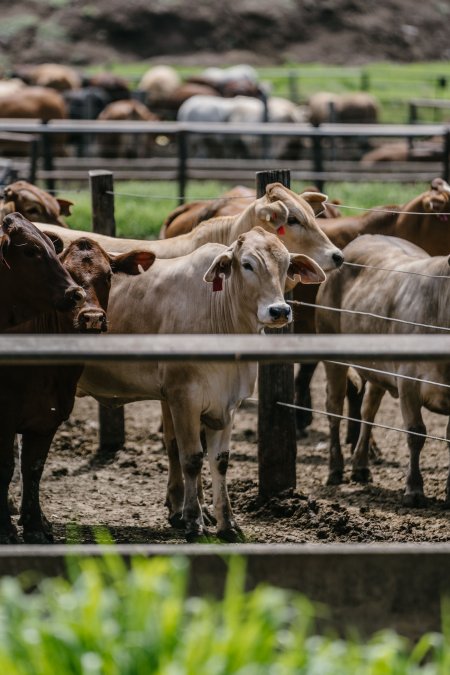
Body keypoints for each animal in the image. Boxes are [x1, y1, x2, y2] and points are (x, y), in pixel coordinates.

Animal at [0, 238, 155, 544]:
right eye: (67, 274)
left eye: (108, 276)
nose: (92, 318)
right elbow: (5, 467)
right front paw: (5, 530)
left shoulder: (48, 415)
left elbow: (32, 467)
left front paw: (35, 526)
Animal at [75, 230, 326, 540]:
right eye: (247, 264)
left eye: (286, 265)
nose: (279, 310)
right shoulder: (183, 398)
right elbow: (192, 458)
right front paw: (193, 521)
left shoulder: (227, 404)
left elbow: (220, 460)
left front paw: (227, 523)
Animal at [314, 234, 450, 508]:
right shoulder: (408, 381)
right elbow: (416, 433)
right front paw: (414, 489)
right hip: (332, 355)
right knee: (334, 409)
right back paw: (335, 469)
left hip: (378, 368)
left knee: (368, 411)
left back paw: (361, 466)